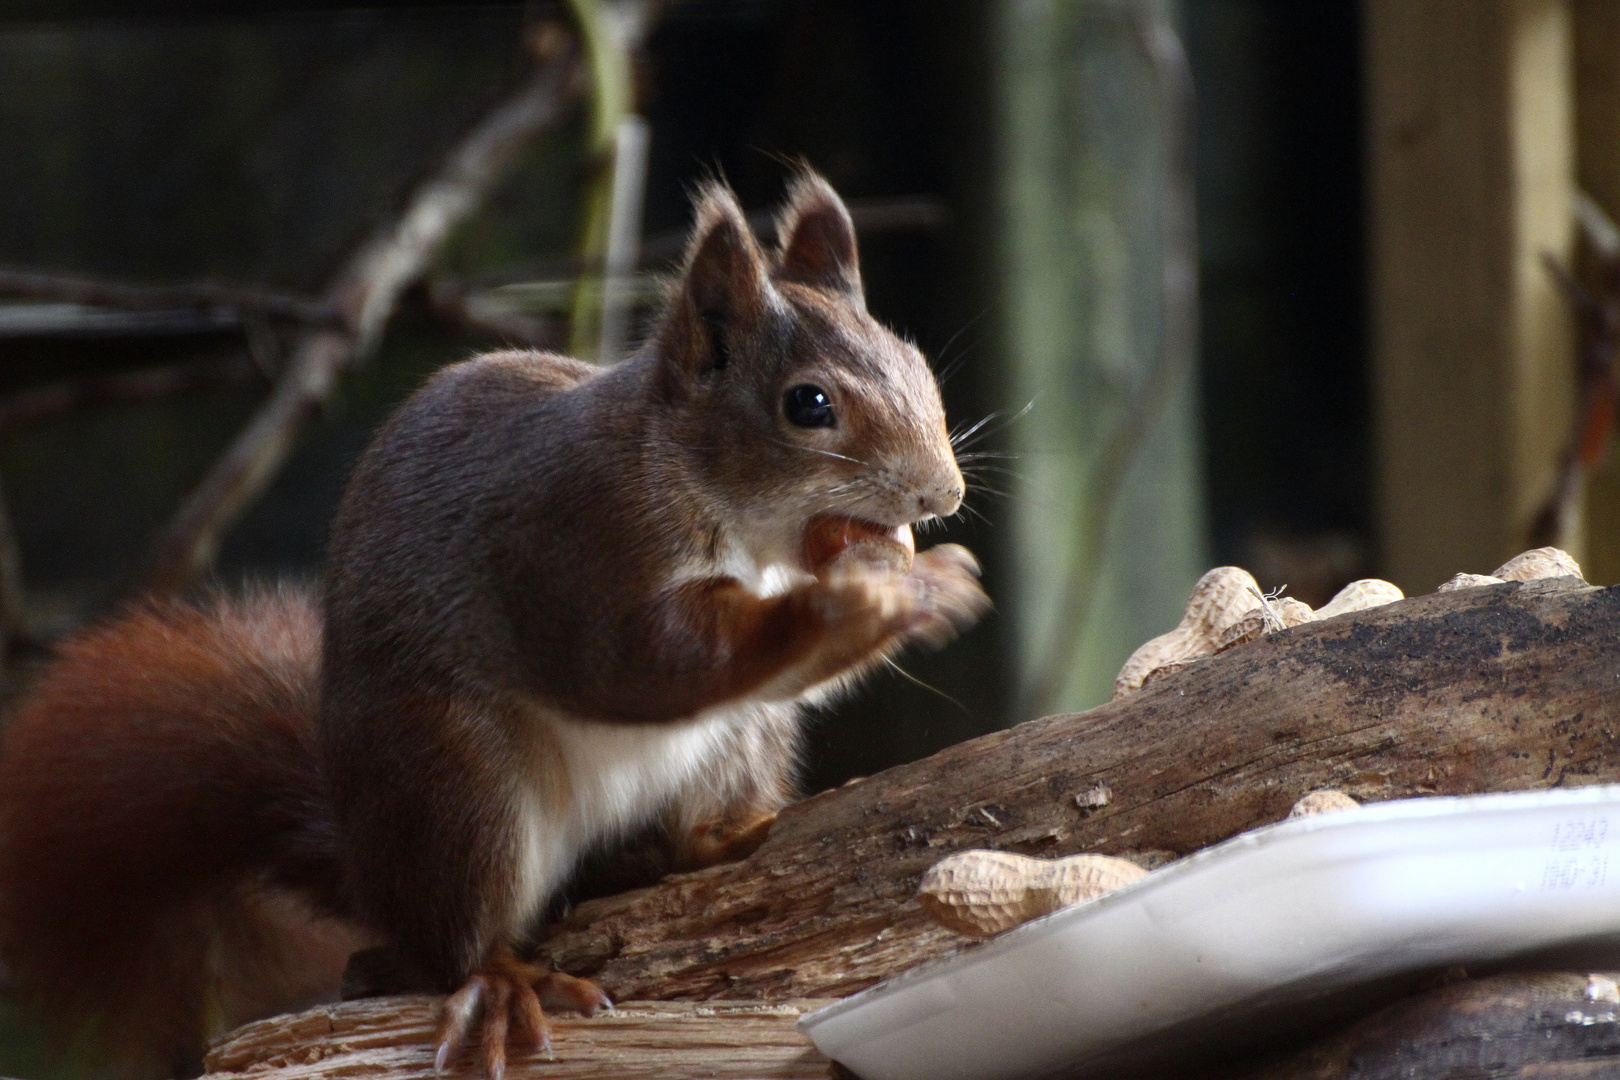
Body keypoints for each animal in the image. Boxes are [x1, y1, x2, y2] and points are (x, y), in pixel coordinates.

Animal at [0, 173, 984, 1075]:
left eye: (916, 364)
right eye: (808, 405)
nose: (942, 494)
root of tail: (368, 868)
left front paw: (925, 581)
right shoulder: (577, 548)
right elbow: (645, 663)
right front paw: (864, 599)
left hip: (741, 741)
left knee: (662, 836)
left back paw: (707, 840)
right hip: (455, 783)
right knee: (447, 944)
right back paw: (499, 982)